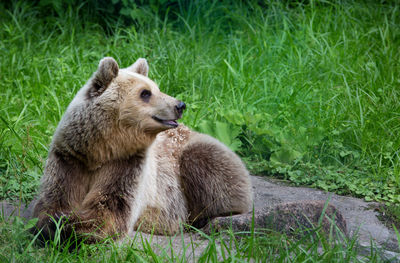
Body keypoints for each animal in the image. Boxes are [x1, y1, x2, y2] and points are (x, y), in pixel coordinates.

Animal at [33, 57, 253, 245]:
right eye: (145, 92)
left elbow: (110, 207)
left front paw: (70, 226)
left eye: (156, 88)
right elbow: (56, 198)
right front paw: (53, 223)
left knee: (207, 165)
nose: (180, 105)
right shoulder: (69, 158)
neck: (101, 150)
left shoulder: (128, 164)